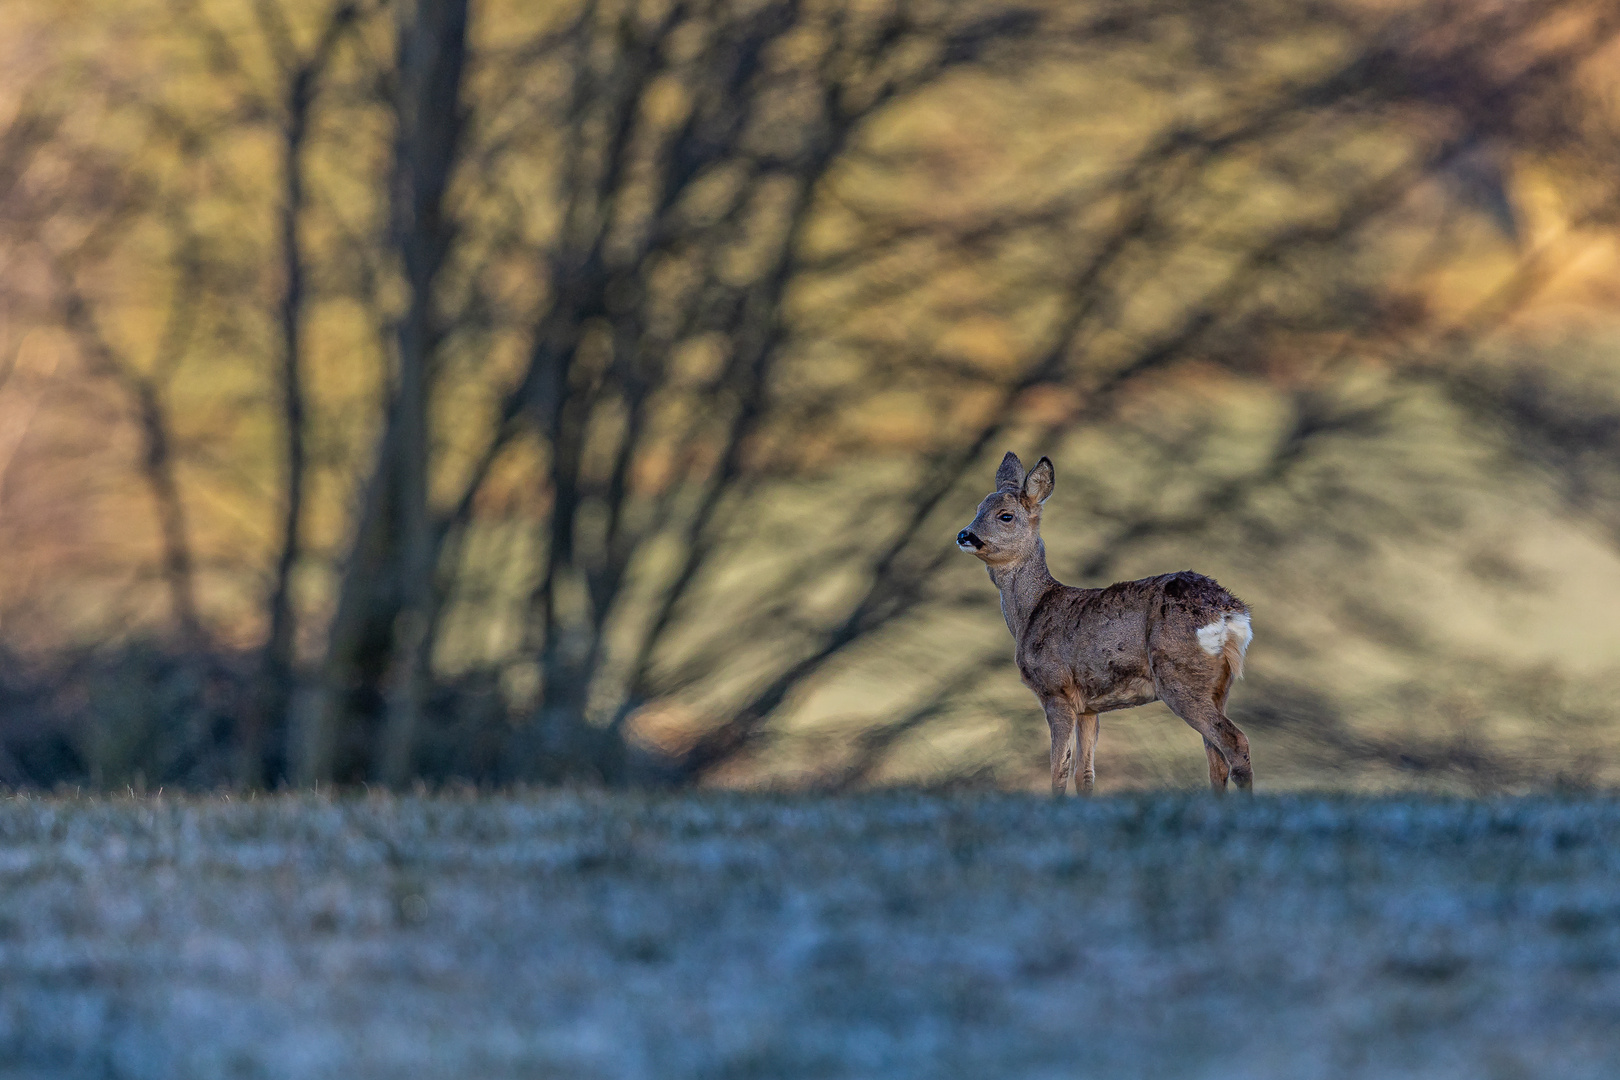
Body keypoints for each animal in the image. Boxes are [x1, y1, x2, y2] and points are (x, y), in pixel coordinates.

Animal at [959, 453, 1250, 799]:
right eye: (978, 508)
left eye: (1006, 515)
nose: (964, 535)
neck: (1031, 611)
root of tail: (1230, 610)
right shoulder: (1089, 707)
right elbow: (1084, 774)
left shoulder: (1055, 689)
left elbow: (1059, 770)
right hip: (1219, 687)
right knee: (1217, 760)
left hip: (1178, 676)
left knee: (1235, 742)